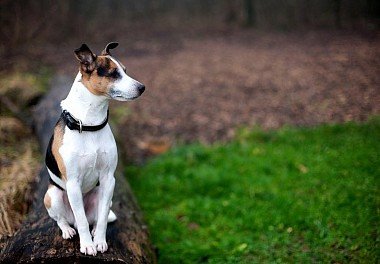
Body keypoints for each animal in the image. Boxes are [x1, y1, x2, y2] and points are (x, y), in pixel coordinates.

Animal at [43, 42, 145, 255]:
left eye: (125, 71)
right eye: (113, 74)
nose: (142, 87)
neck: (89, 125)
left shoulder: (108, 179)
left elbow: (102, 219)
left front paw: (98, 241)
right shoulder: (73, 183)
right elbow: (81, 221)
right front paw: (87, 245)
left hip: (102, 194)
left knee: (98, 218)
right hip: (53, 195)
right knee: (63, 220)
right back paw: (68, 230)